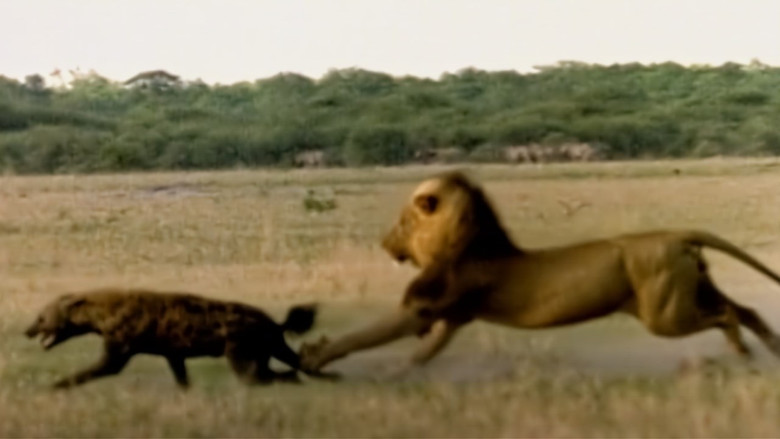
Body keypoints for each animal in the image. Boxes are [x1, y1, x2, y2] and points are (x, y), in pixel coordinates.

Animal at [25, 288, 333, 389]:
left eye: (41, 318)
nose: (26, 330)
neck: (102, 315)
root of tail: (275, 322)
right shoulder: (172, 352)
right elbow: (181, 375)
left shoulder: (120, 346)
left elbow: (97, 369)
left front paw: (54, 386)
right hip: (272, 345)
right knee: (297, 363)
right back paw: (329, 377)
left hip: (240, 349)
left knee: (257, 376)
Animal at [300, 171, 780, 373]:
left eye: (402, 223)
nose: (385, 243)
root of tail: (679, 235)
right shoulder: (454, 317)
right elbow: (426, 352)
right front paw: (402, 372)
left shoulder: (422, 307)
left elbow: (360, 336)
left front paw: (315, 356)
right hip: (692, 290)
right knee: (748, 310)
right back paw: (770, 352)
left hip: (665, 314)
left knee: (729, 317)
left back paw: (744, 355)